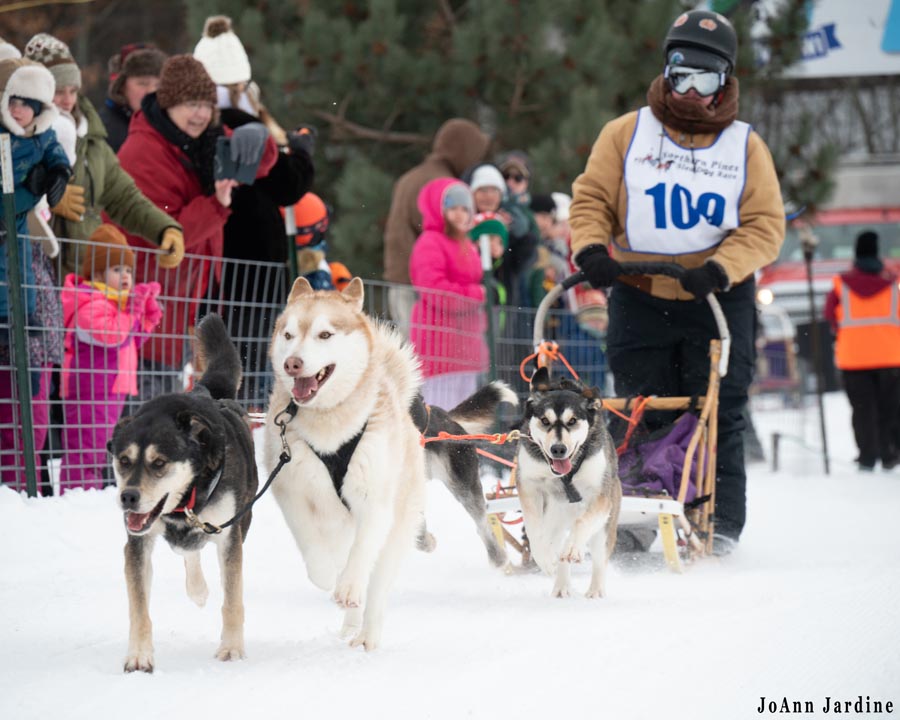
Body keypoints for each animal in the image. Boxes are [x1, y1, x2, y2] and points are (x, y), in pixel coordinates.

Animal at [109, 314, 259, 672]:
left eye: (159, 463)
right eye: (124, 460)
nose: (128, 497)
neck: (188, 498)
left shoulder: (228, 536)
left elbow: (232, 599)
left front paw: (232, 648)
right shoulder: (137, 543)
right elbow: (139, 608)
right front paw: (139, 655)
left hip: (241, 521)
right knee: (188, 550)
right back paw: (198, 589)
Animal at [515, 367, 621, 598]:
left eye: (572, 421)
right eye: (545, 421)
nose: (558, 449)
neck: (566, 475)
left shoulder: (601, 496)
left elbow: (581, 524)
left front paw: (573, 547)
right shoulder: (529, 485)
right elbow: (534, 529)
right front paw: (545, 559)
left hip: (604, 526)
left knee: (598, 557)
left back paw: (595, 589)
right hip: (555, 518)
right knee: (553, 542)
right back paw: (561, 584)